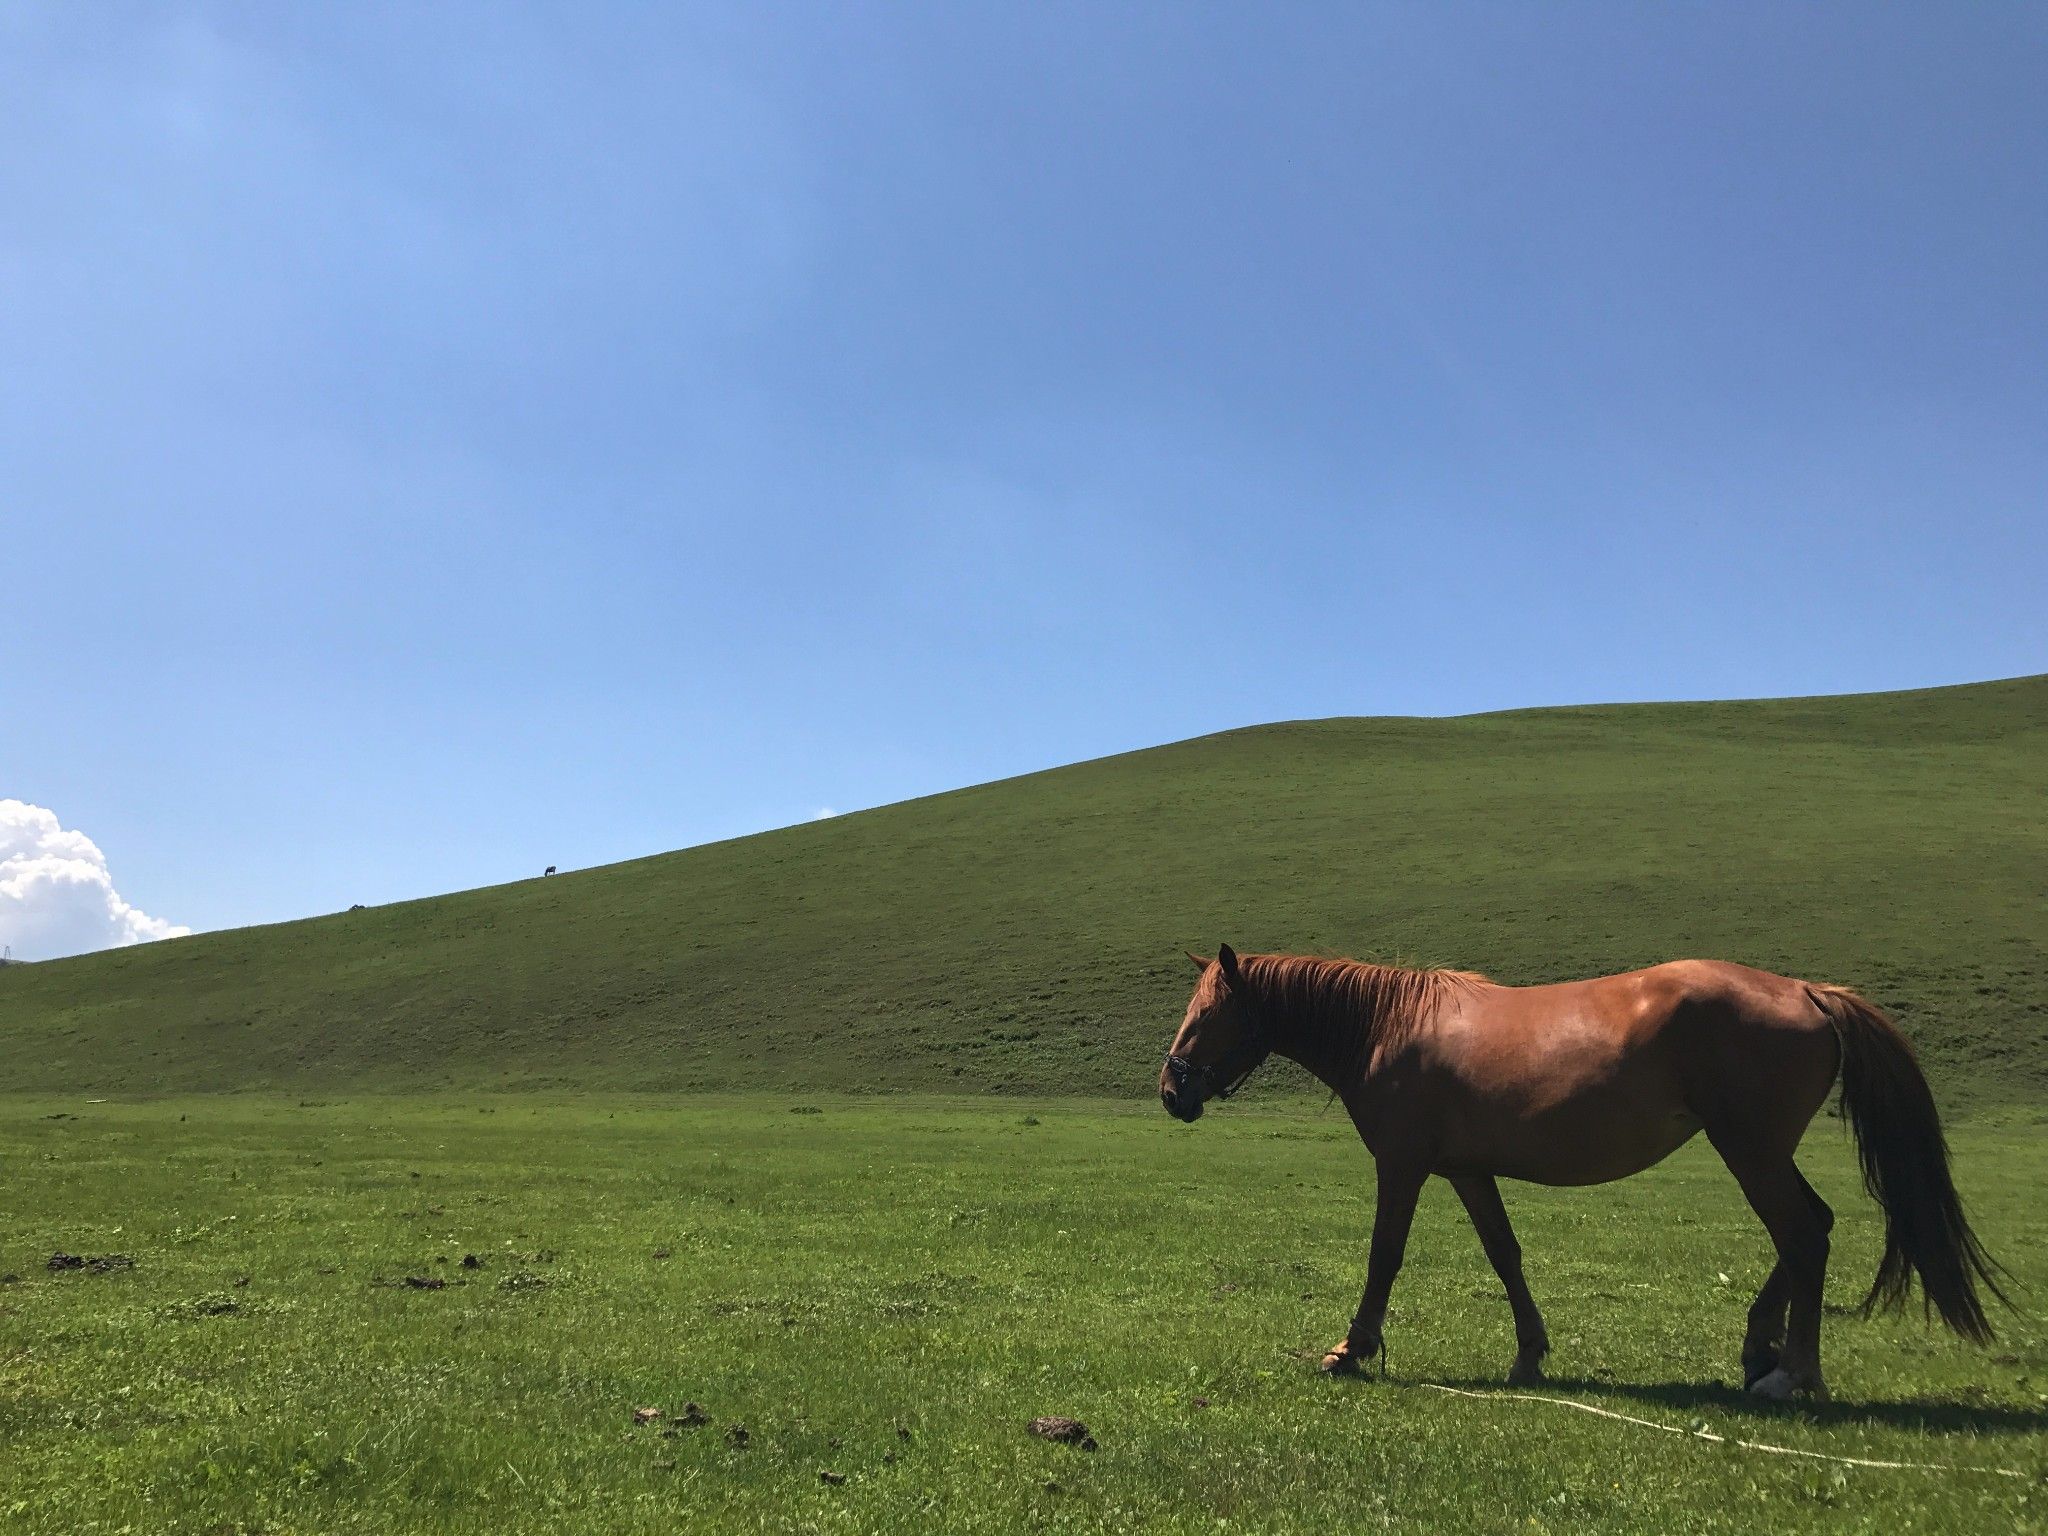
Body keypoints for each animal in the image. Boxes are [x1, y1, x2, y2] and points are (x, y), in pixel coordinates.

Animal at [1163, 946, 2007, 1400]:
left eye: (1204, 1016)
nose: (1171, 1091)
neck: (1390, 1026)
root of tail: (1806, 990)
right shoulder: (1467, 1172)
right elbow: (1505, 1256)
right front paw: (1529, 1353)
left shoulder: (1403, 1167)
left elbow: (1384, 1257)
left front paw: (1351, 1349)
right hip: (1759, 1151)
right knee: (1811, 1230)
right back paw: (1760, 1348)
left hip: (1750, 1149)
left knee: (1802, 1234)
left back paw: (1791, 1372)